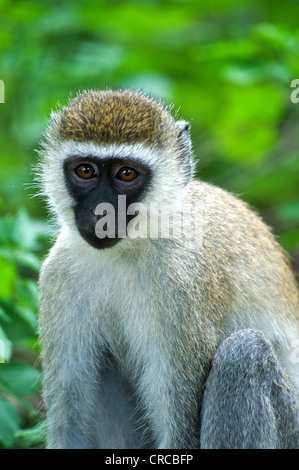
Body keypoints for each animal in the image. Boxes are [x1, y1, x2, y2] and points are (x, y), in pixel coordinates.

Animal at [38, 88, 299, 448]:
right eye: (86, 171)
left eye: (126, 174)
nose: (101, 212)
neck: (130, 249)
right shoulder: (58, 276)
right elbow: (69, 424)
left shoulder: (183, 285)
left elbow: (181, 430)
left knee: (243, 353)